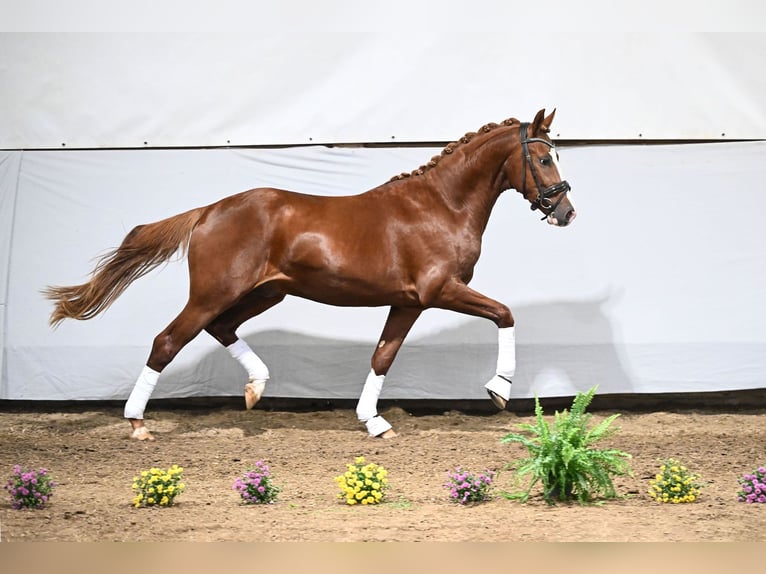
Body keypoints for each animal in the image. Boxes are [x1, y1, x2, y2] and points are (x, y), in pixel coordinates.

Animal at [43, 108, 576, 440]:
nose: (566, 212)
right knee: (168, 341)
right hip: (215, 293)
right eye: (543, 157)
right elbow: (504, 314)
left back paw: (256, 388)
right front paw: (499, 390)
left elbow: (383, 357)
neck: (439, 206)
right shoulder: (441, 289)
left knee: (221, 329)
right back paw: (137, 423)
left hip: (267, 294)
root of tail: (209, 211)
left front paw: (373, 422)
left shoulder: (408, 301)